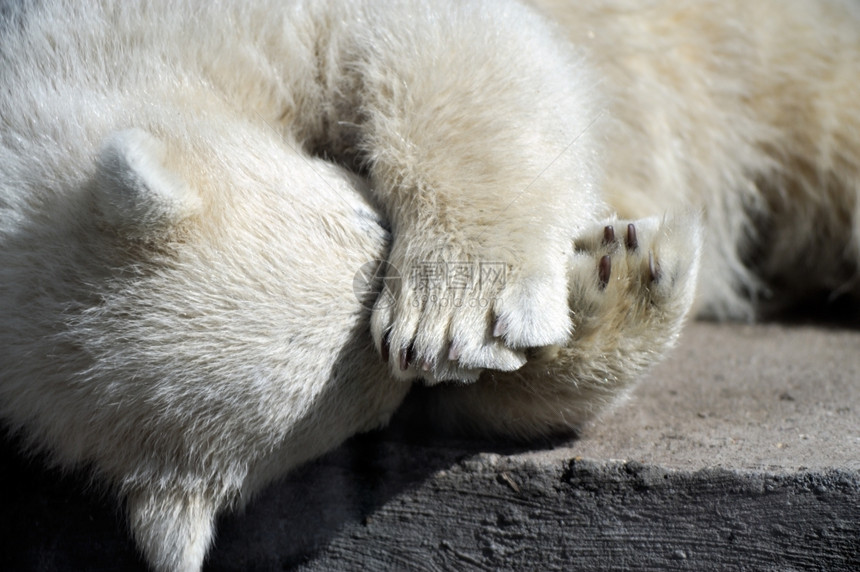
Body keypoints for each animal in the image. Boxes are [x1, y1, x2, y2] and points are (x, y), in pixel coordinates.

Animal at [0, 1, 856, 572]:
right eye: (380, 408)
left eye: (366, 223)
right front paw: (613, 285)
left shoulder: (206, 28)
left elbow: (429, 39)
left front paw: (462, 308)